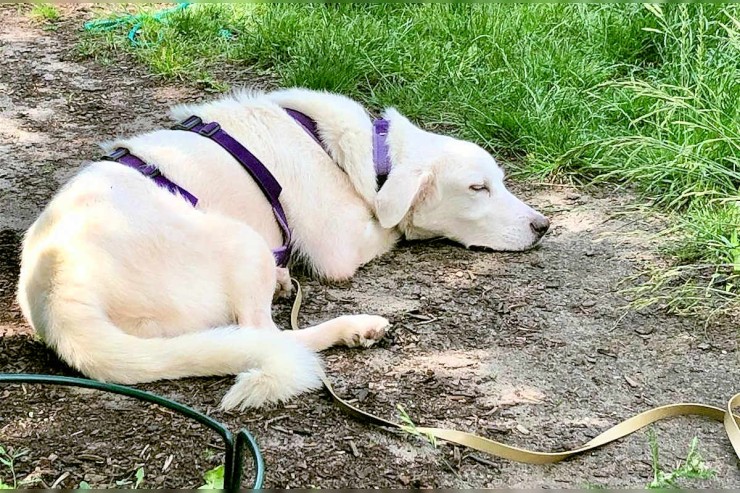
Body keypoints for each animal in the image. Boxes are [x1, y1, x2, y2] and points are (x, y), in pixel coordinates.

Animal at [15, 87, 548, 408]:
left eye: (501, 181)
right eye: (478, 188)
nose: (543, 225)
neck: (362, 153)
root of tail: (59, 290)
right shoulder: (342, 247)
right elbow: (395, 226)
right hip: (243, 241)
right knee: (269, 335)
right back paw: (353, 328)